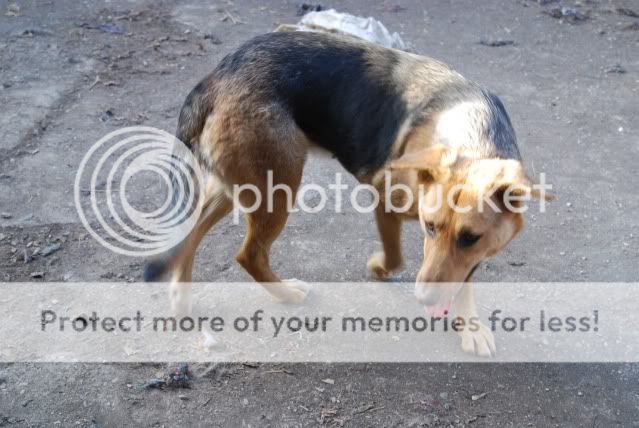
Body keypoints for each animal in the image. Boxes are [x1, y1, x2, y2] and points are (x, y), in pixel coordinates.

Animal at [144, 30, 552, 358]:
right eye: (430, 228)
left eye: (471, 238)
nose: (424, 300)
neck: (470, 134)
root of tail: (217, 75)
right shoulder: (387, 203)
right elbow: (396, 259)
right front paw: (379, 268)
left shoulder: (467, 252)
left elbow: (462, 277)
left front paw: (469, 325)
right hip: (276, 187)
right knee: (249, 254)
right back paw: (286, 294)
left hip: (238, 184)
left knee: (192, 229)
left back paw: (180, 299)